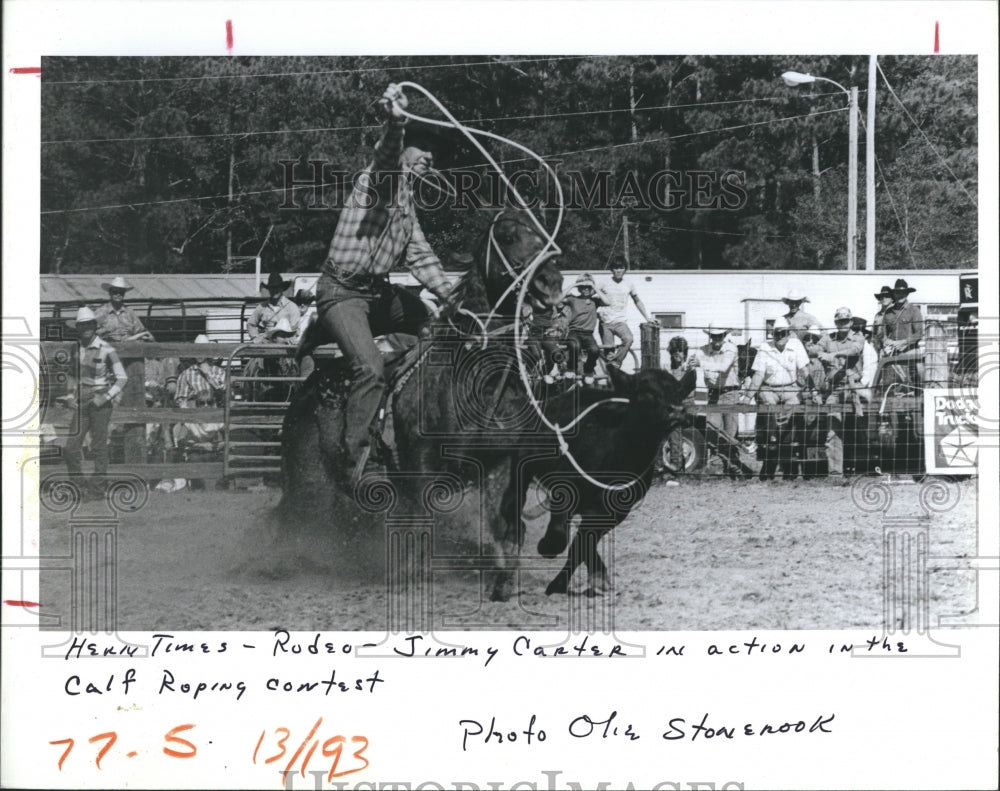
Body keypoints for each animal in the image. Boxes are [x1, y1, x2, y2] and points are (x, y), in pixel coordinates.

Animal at [278, 209, 568, 600]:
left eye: (543, 232)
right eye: (508, 237)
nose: (551, 281)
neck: (474, 378)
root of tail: (306, 392)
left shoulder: (501, 463)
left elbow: (507, 526)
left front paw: (504, 582)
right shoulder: (421, 465)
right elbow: (423, 521)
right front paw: (407, 576)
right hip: (306, 479)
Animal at [520, 366, 692, 592]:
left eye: (679, 391)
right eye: (645, 391)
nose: (677, 410)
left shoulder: (612, 512)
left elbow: (581, 546)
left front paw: (570, 582)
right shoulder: (564, 490)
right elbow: (560, 535)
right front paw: (546, 547)